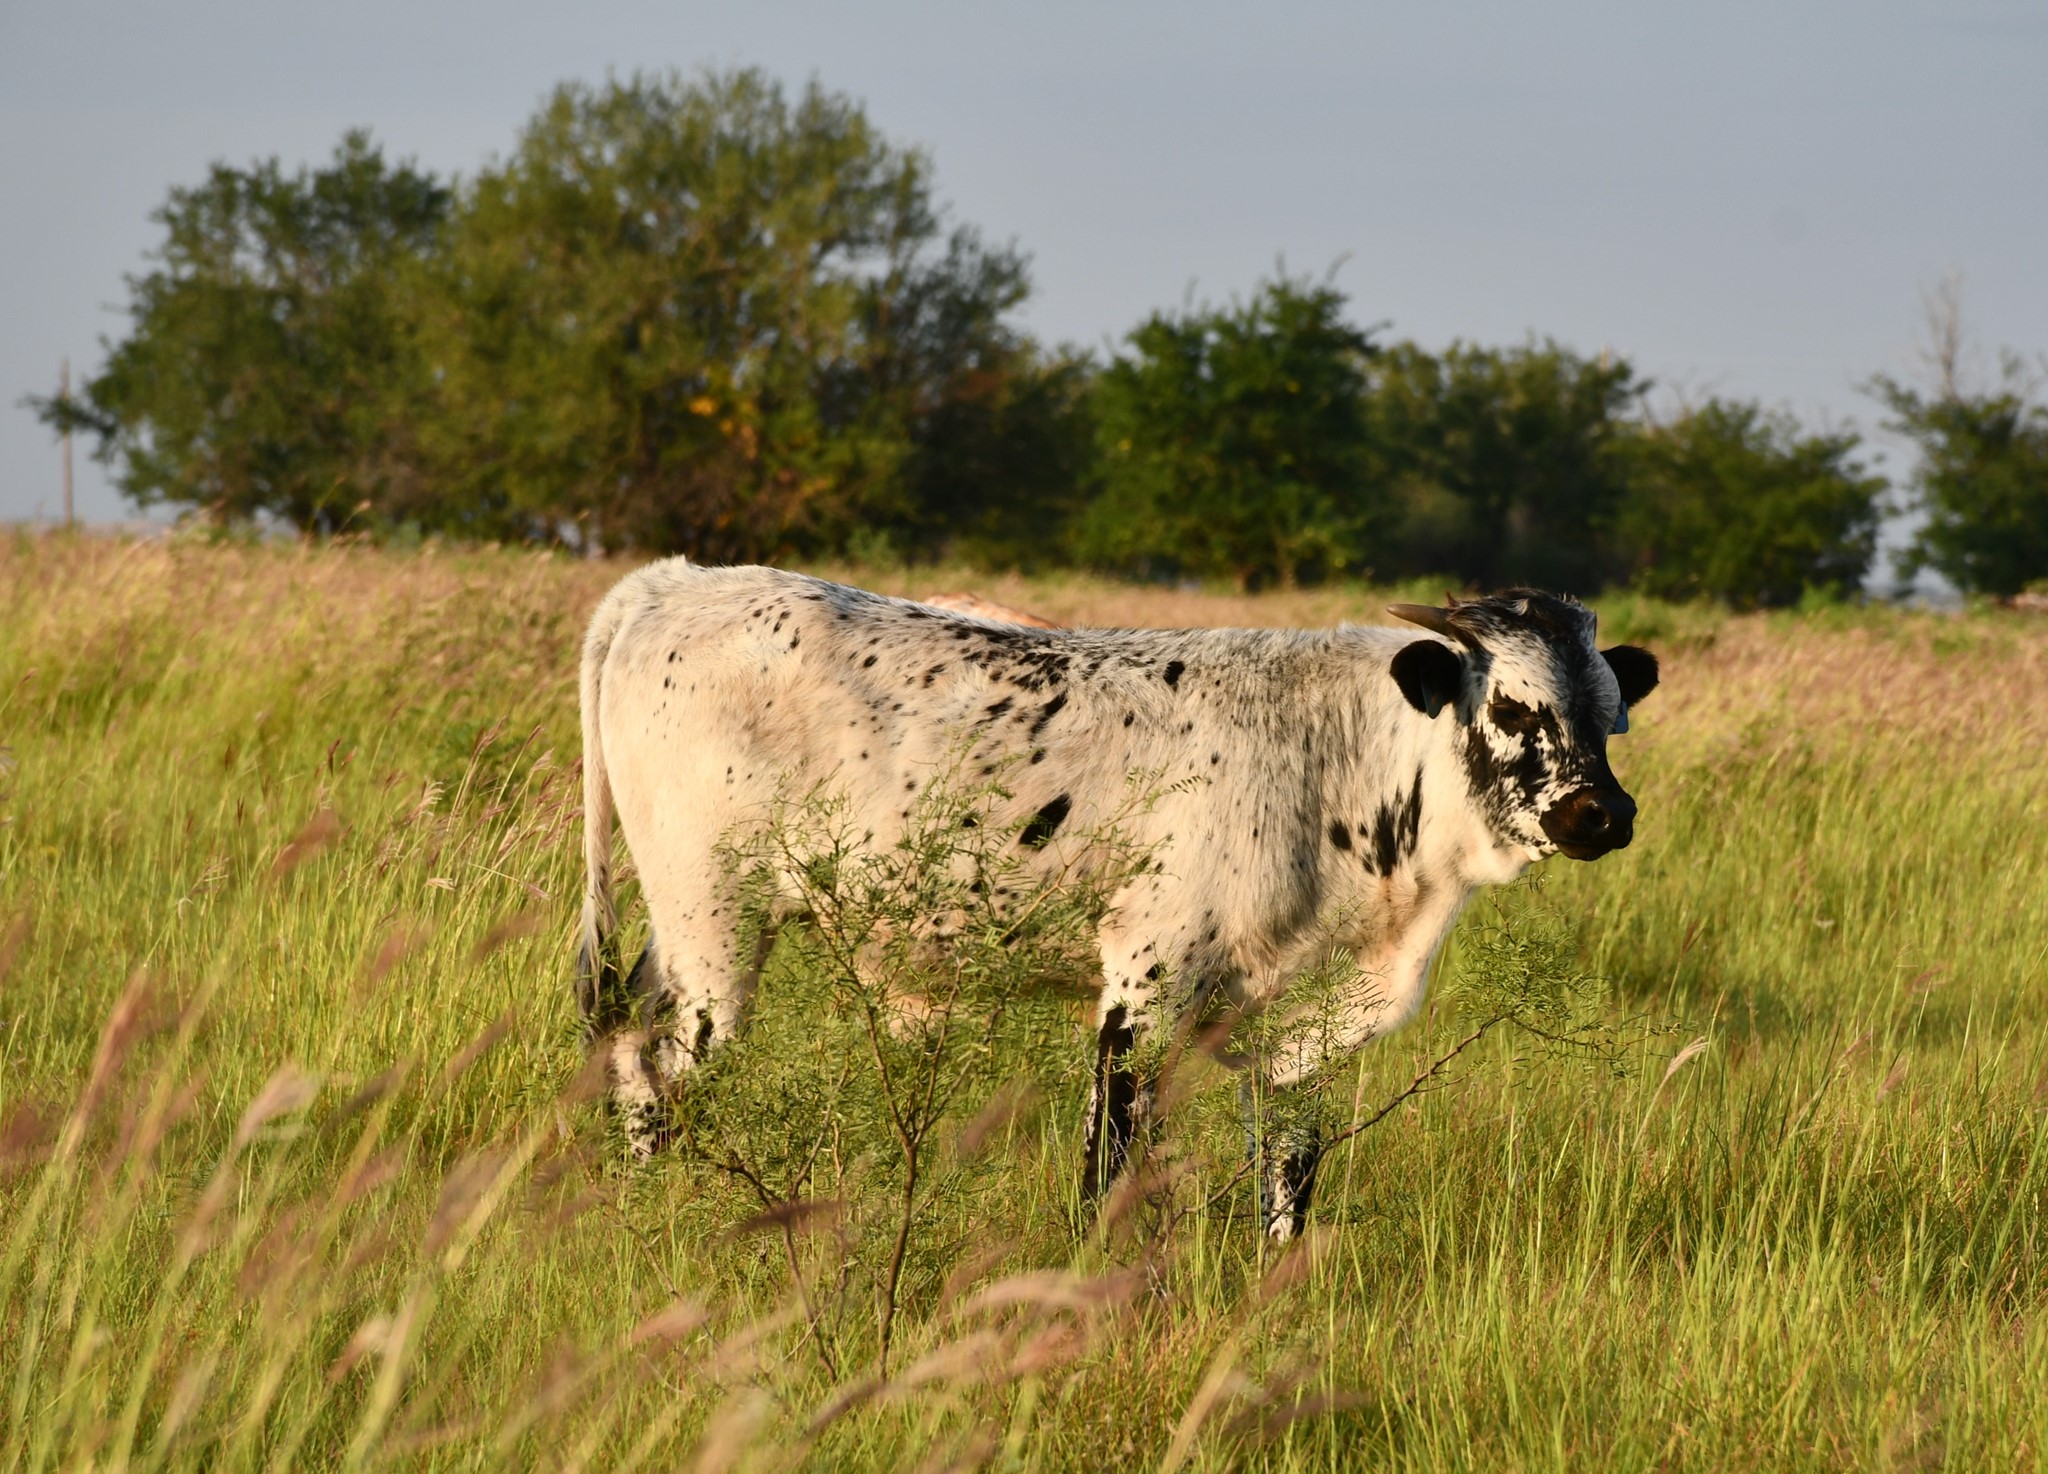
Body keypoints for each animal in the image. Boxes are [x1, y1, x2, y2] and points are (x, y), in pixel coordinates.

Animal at [574, 561, 1659, 1240]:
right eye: (1511, 707)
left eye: (1611, 715)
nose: (1601, 813)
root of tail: (677, 580)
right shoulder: (1142, 985)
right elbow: (1106, 1169)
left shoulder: (1295, 1024)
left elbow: (1288, 1167)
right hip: (714, 924)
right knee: (660, 1064)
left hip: (679, 933)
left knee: (626, 1037)